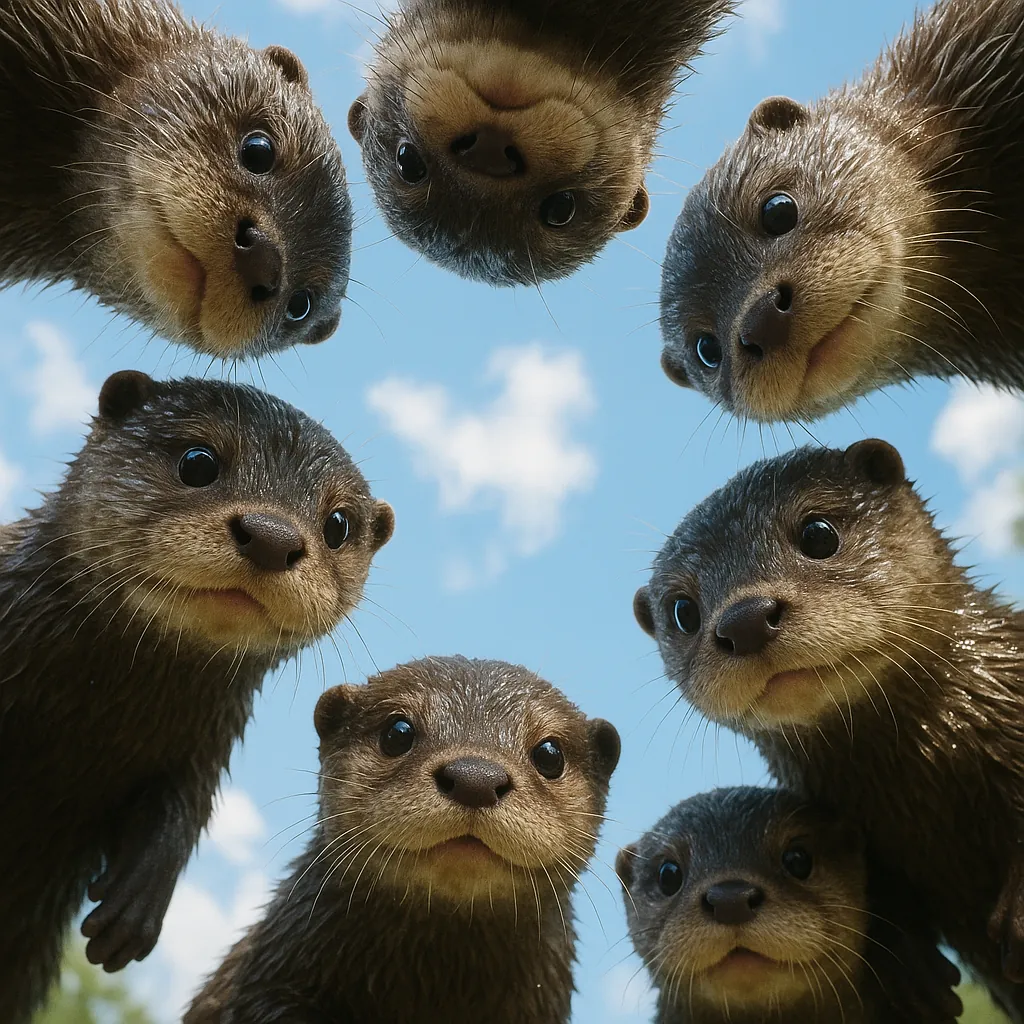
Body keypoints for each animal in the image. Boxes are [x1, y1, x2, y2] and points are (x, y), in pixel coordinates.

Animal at [0, 370, 394, 1024]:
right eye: (198, 461)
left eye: (337, 523)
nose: (272, 536)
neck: (80, 720)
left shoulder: (204, 743)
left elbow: (182, 806)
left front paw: (137, 900)